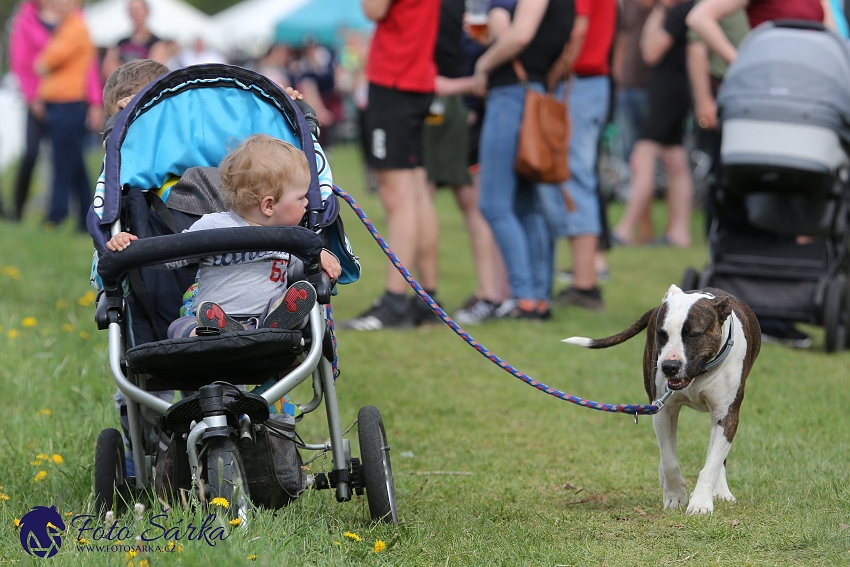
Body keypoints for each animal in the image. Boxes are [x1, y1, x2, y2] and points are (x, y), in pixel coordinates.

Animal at [560, 286, 760, 512]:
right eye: (661, 334)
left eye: (694, 334)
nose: (669, 366)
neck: (699, 374)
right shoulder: (663, 410)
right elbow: (669, 460)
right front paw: (675, 495)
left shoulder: (726, 415)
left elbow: (712, 463)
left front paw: (700, 503)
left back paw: (721, 491)